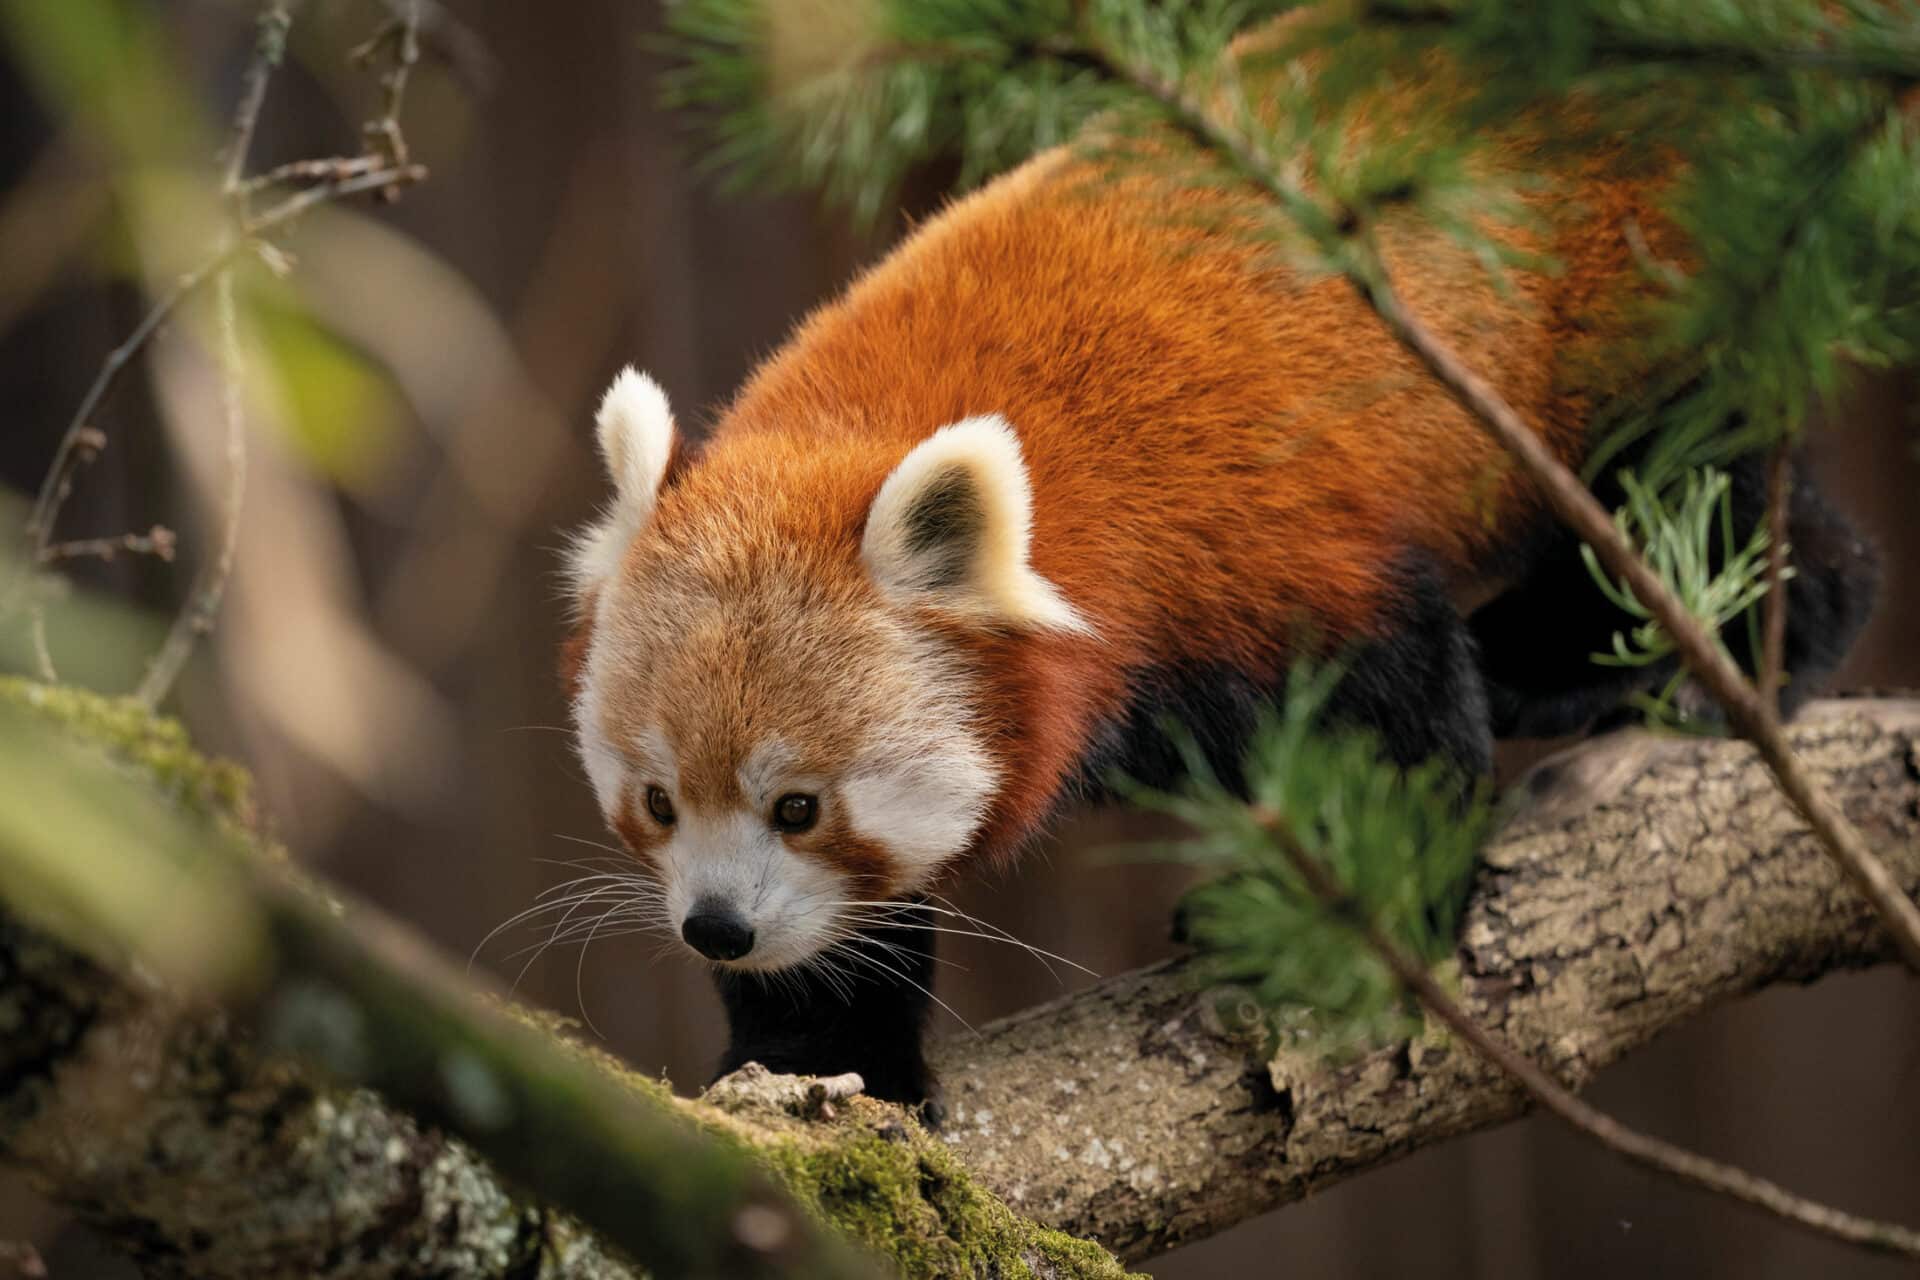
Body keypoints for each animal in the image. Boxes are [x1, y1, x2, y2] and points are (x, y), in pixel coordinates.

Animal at [560, 50, 1873, 1113]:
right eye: (660, 800)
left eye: (798, 805)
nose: (716, 927)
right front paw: (816, 1057)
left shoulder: (1263, 534)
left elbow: (1389, 708)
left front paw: (1361, 918)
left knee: (1703, 486)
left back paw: (1710, 654)